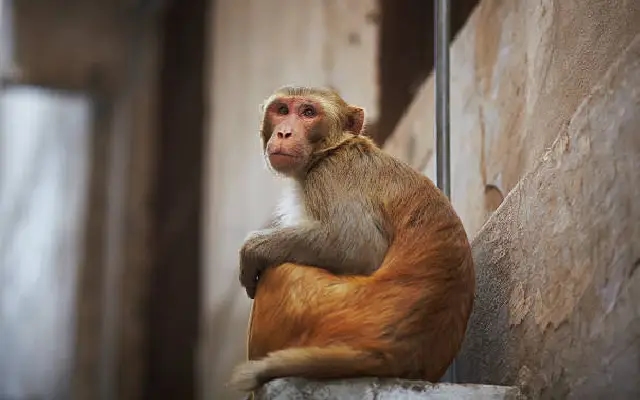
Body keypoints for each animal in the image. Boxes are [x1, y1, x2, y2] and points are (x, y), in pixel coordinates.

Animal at [228, 85, 475, 392]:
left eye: (308, 112)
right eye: (282, 110)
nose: (284, 132)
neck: (330, 150)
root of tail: (391, 353)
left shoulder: (331, 174)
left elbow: (356, 246)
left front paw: (251, 251)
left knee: (280, 271)